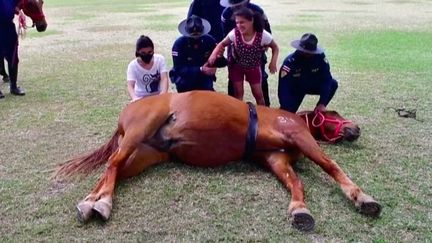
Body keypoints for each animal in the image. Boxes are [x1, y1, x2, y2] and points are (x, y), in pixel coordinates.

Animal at [54, 91, 382, 232]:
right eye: (334, 115)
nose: (356, 129)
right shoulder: (298, 136)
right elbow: (330, 165)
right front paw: (361, 197)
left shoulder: (276, 160)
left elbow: (296, 183)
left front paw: (299, 209)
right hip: (139, 131)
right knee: (112, 164)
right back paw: (103, 204)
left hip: (144, 154)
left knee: (114, 170)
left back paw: (92, 202)